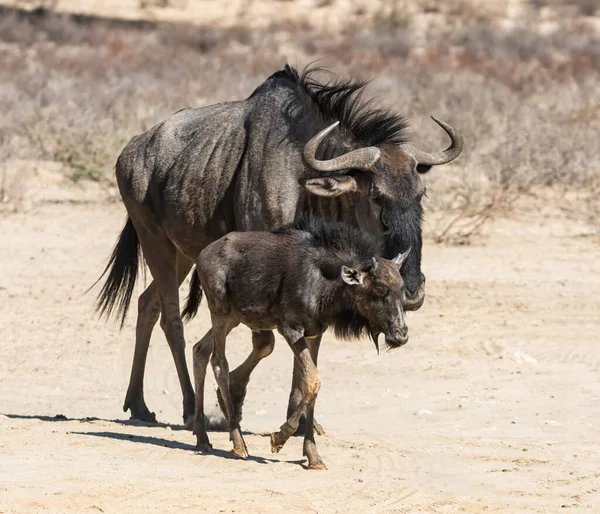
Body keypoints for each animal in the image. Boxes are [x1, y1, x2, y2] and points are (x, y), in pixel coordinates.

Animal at [190, 217, 410, 468]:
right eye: (380, 290)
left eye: (402, 289)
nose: (401, 335)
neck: (323, 283)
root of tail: (202, 255)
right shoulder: (290, 329)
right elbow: (313, 380)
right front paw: (279, 437)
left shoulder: (314, 335)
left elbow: (308, 384)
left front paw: (313, 455)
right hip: (219, 309)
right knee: (219, 363)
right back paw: (238, 443)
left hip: (233, 317)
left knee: (200, 350)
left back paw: (202, 437)